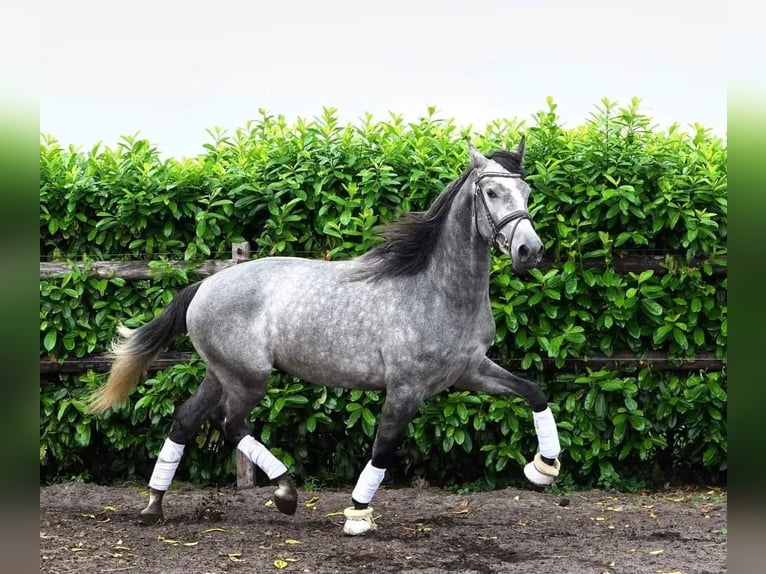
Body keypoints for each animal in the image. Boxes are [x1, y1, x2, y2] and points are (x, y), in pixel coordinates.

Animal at [87, 139, 562, 536]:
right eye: (492, 193)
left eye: (527, 192)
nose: (530, 251)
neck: (437, 290)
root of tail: (204, 286)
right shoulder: (406, 388)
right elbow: (383, 448)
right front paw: (357, 514)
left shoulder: (470, 371)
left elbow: (534, 392)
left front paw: (543, 468)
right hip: (248, 378)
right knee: (229, 424)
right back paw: (284, 493)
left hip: (221, 373)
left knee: (186, 421)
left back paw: (154, 503)